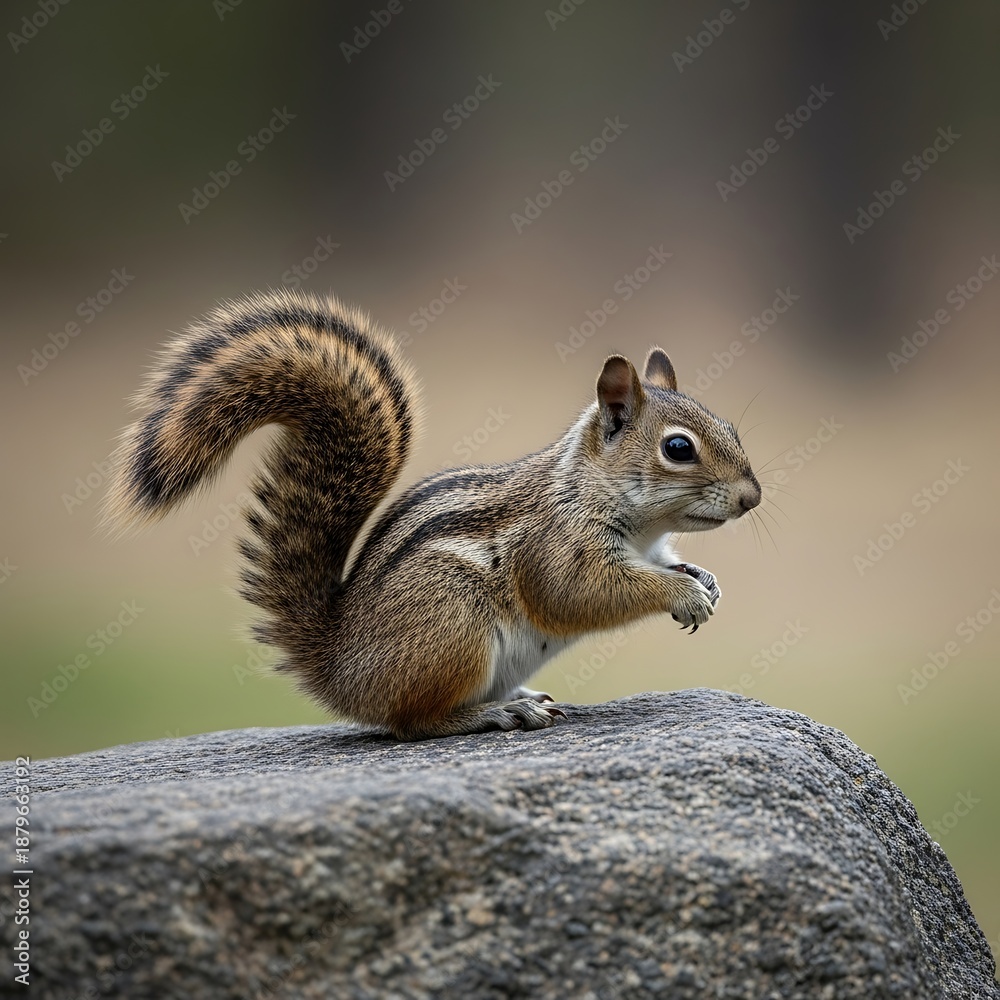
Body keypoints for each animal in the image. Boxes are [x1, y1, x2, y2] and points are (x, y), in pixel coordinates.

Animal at [105, 288, 761, 740]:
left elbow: (670, 564)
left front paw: (703, 580)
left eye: (731, 429)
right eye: (678, 448)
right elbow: (580, 593)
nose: (752, 497)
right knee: (412, 723)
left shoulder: (653, 547)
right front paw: (682, 595)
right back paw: (498, 712)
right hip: (454, 626)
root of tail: (339, 668)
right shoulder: (556, 547)